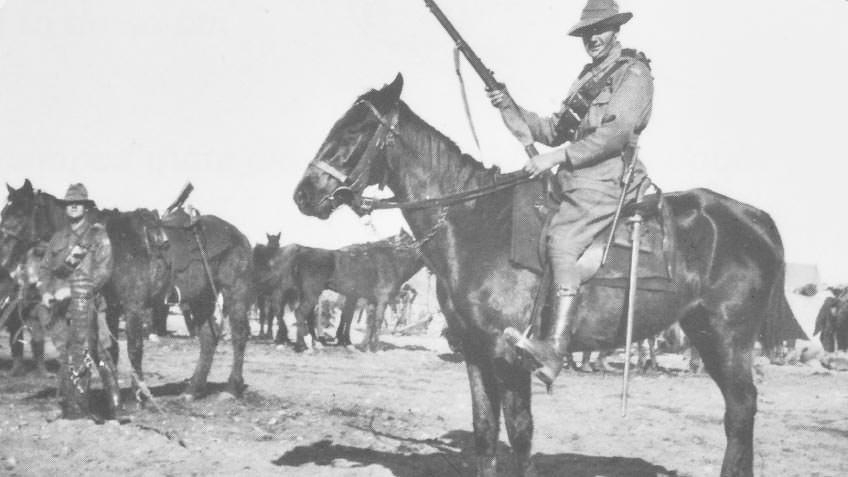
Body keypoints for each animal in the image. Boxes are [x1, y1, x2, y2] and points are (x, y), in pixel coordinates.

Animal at [0, 180, 253, 401]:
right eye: (5, 213)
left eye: (19, 213)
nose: (4, 262)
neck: (110, 244)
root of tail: (238, 235)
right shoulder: (112, 309)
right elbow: (113, 351)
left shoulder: (134, 306)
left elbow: (134, 348)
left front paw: (139, 395)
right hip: (201, 298)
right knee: (208, 339)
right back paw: (192, 390)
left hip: (235, 291)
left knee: (239, 335)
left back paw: (231, 389)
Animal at [292, 74, 796, 477]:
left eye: (356, 128)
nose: (304, 194)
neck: (474, 221)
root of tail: (755, 219)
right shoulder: (475, 353)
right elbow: (484, 432)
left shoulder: (509, 358)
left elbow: (519, 433)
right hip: (704, 333)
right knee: (739, 410)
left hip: (728, 338)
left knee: (741, 411)